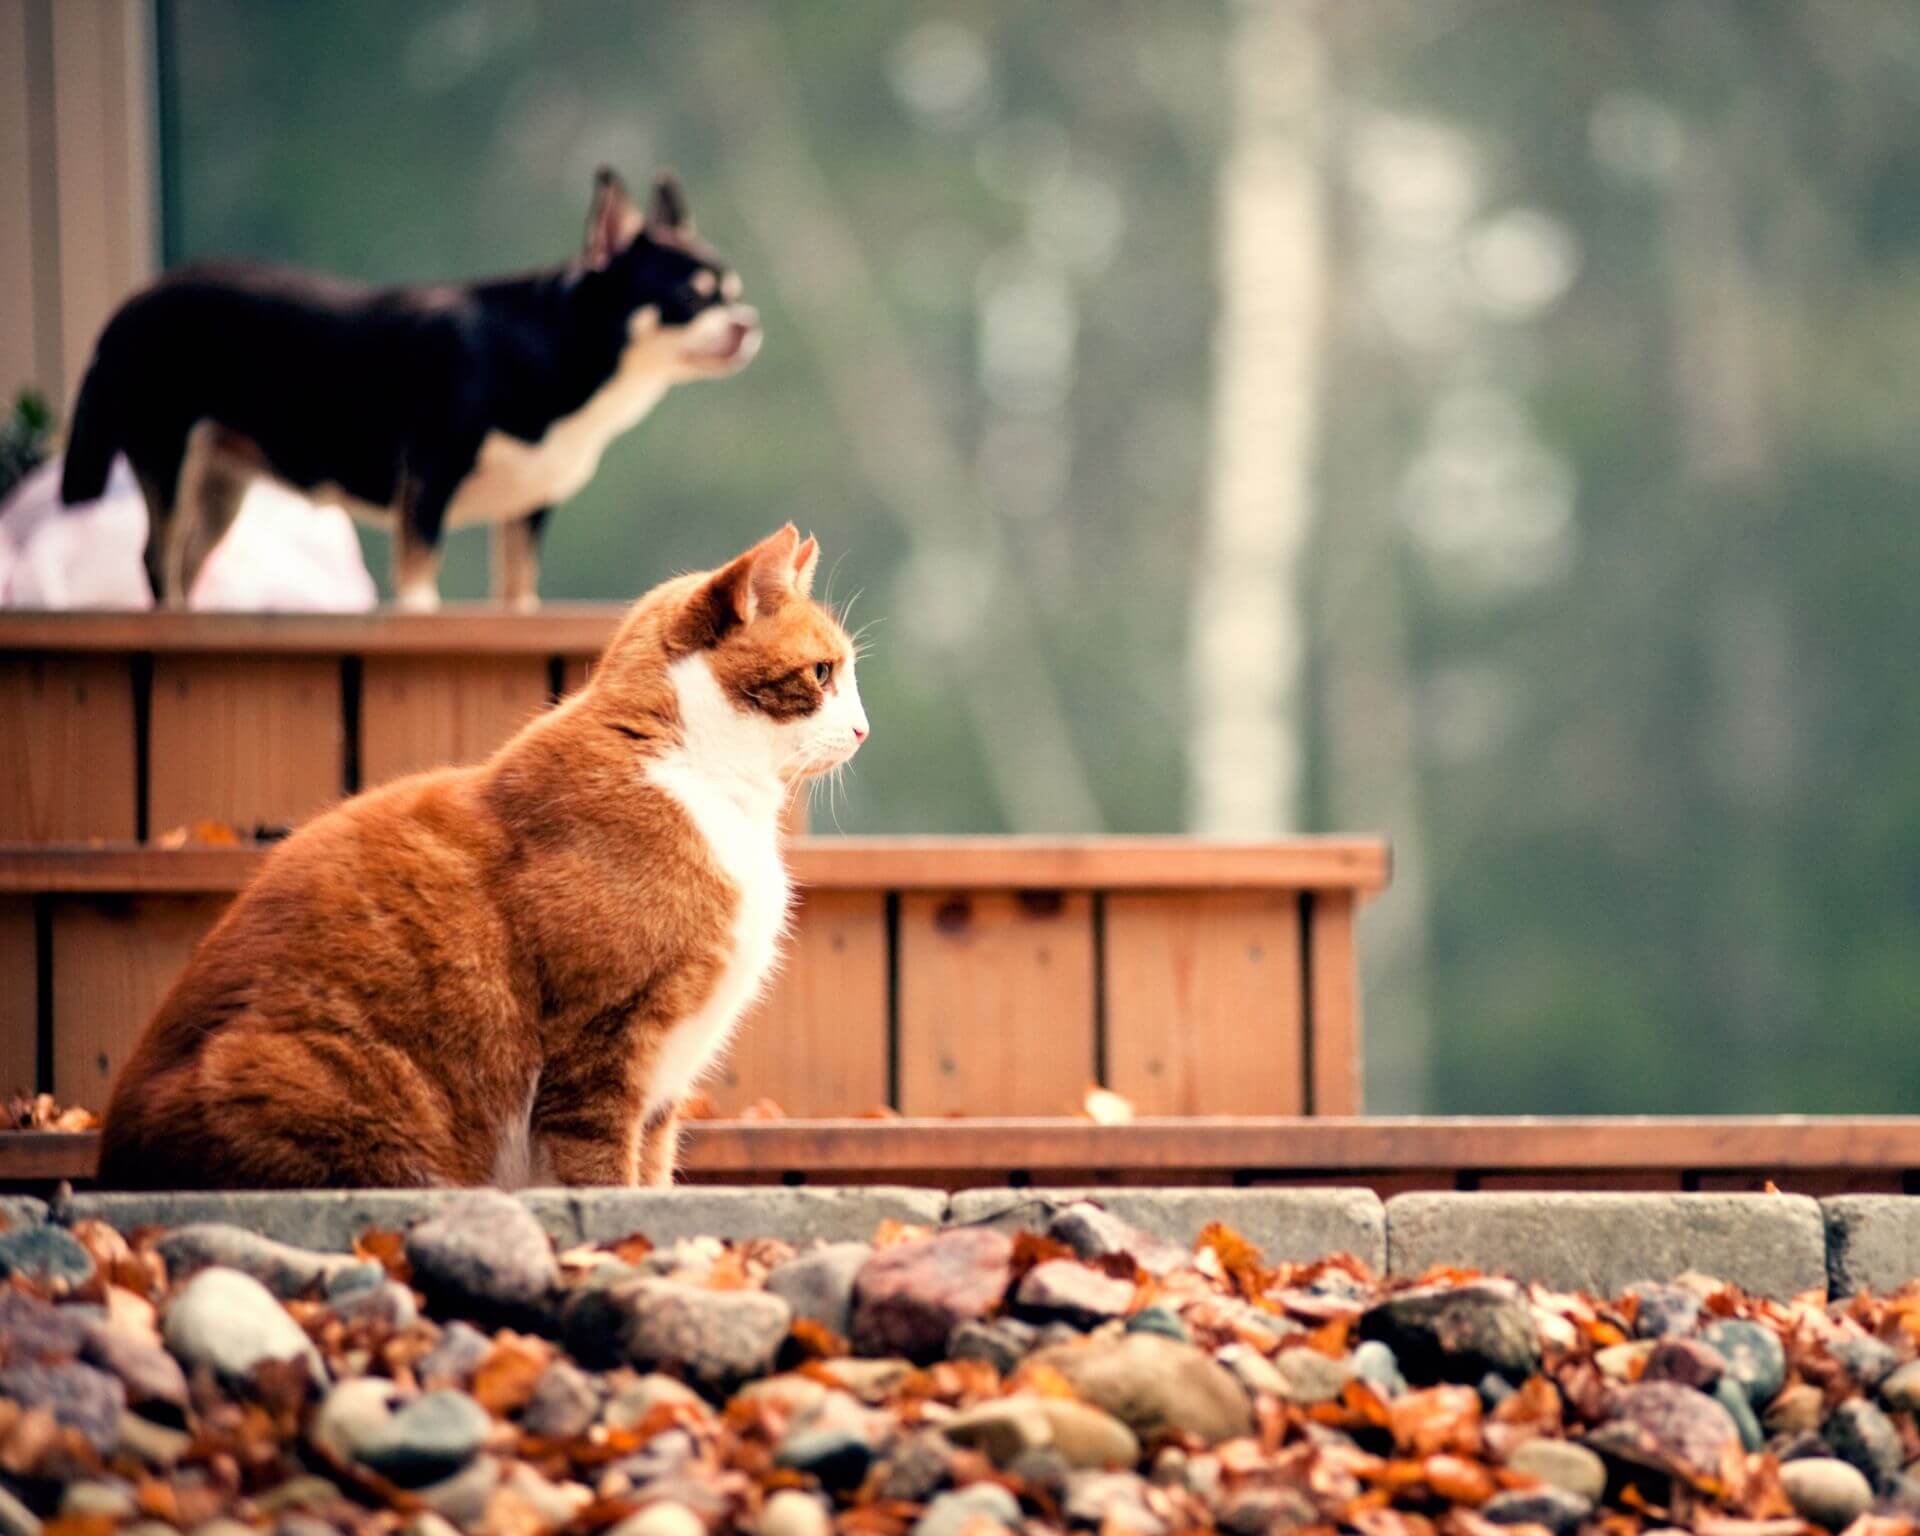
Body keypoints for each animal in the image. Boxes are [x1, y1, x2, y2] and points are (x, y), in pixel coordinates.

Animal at [54, 173, 756, 610]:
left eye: (733, 292)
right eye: (692, 296)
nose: (748, 322)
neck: (552, 344)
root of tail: (129, 308)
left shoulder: (526, 509)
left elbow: (518, 585)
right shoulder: (428, 483)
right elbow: (419, 579)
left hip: (220, 483)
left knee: (184, 558)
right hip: (168, 454)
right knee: (157, 557)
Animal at [97, 526, 864, 1190]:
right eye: (822, 673)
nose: (862, 729)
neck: (700, 778)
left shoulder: (662, 1086)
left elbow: (651, 1173)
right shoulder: (602, 1051)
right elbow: (605, 1175)